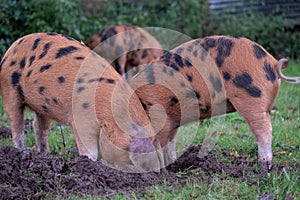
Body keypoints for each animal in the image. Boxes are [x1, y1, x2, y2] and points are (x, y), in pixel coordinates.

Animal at [129, 36, 300, 173]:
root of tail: (273, 63)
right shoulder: (171, 121)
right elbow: (170, 144)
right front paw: (171, 166)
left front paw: (161, 173)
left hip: (252, 98)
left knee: (264, 131)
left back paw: (264, 170)